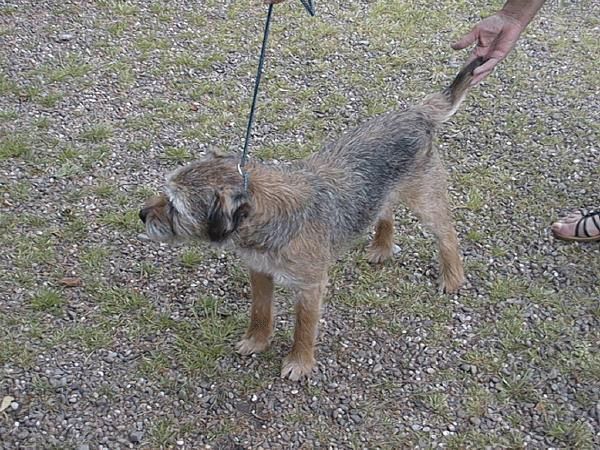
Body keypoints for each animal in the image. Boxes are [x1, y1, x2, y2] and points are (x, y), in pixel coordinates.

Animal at [139, 58, 484, 380]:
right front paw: (257, 341)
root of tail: (417, 112)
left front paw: (299, 362)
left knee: (447, 235)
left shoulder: (309, 287)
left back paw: (452, 277)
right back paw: (382, 248)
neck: (271, 215)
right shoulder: (260, 272)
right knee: (385, 212)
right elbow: (260, 311)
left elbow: (303, 327)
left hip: (425, 199)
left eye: (174, 206)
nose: (141, 214)